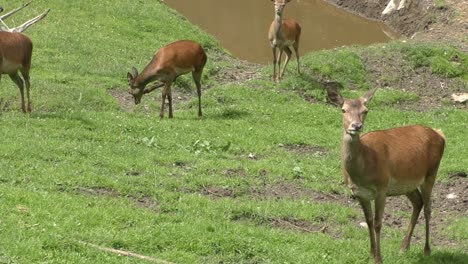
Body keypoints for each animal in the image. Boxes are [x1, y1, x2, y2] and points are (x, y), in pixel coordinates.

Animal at [328, 87, 444, 264]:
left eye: (365, 110)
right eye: (343, 109)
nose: (356, 126)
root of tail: (440, 134)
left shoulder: (382, 187)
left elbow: (377, 223)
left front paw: (378, 258)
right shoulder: (359, 192)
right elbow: (368, 221)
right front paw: (371, 253)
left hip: (431, 172)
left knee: (428, 207)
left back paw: (426, 250)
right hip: (406, 183)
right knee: (418, 202)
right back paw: (404, 247)